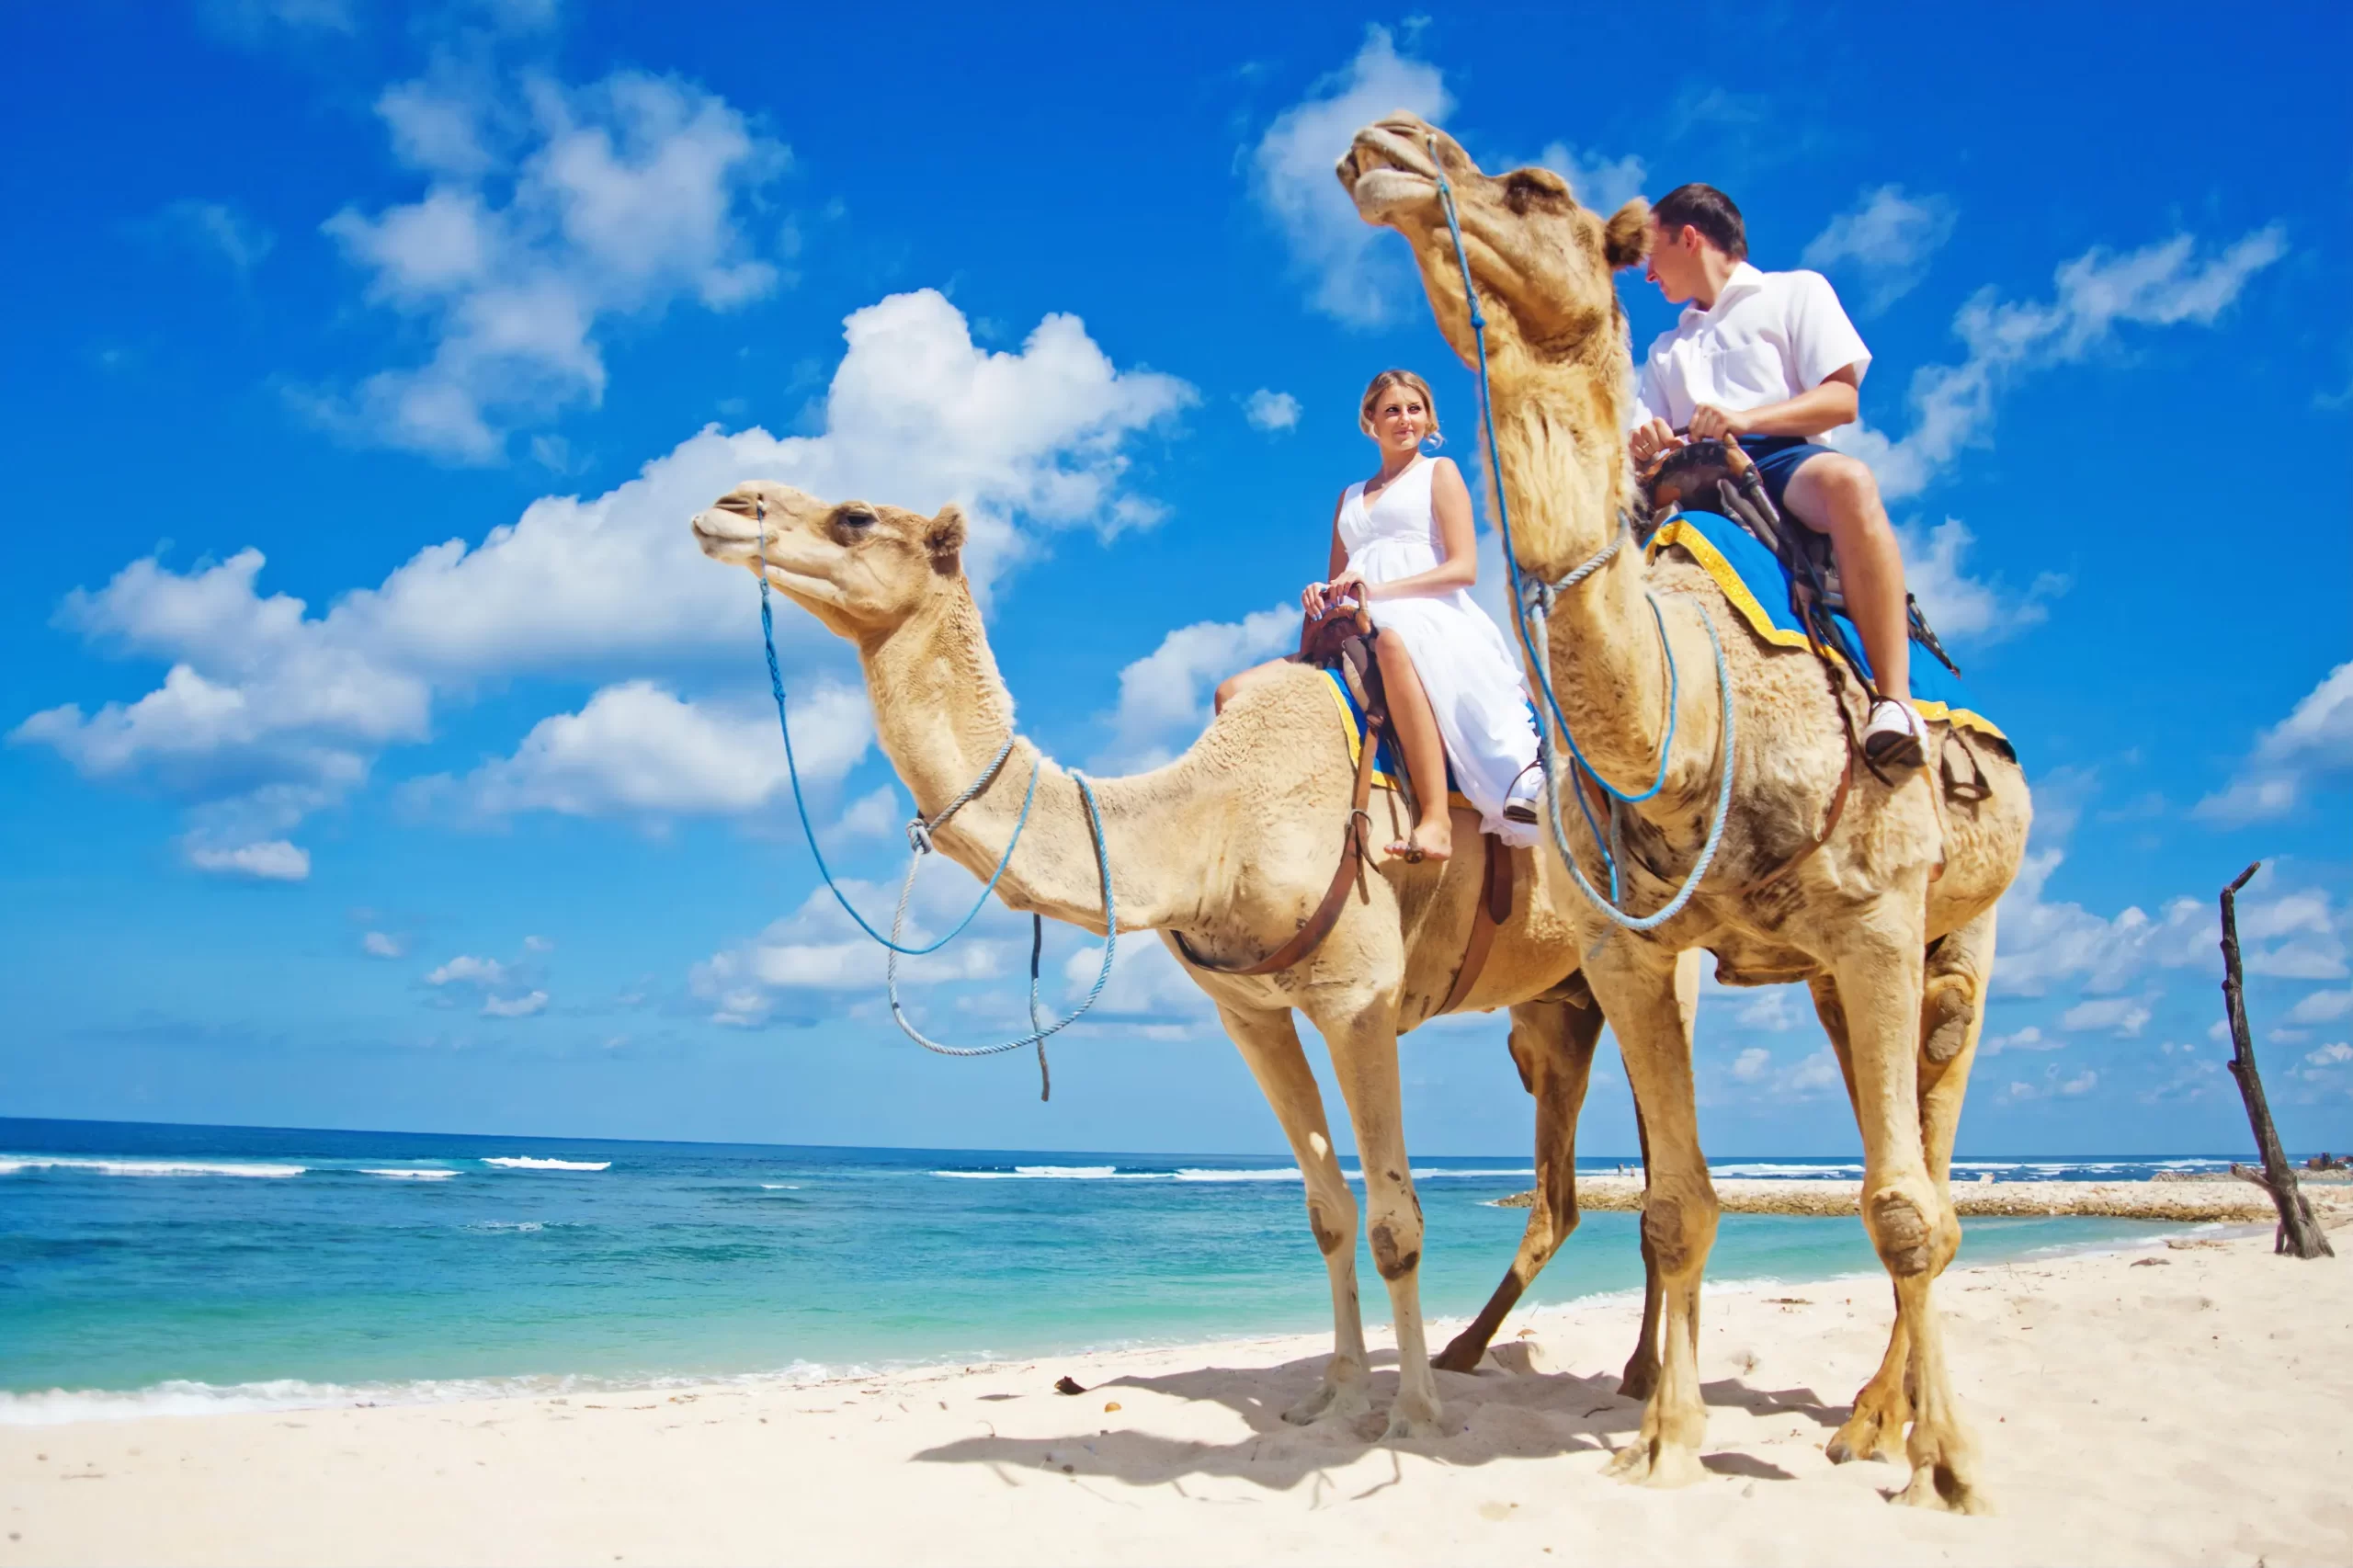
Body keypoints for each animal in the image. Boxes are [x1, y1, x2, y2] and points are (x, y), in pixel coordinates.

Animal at [690, 482, 1693, 1439]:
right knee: (1562, 1190)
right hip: (1554, 1008)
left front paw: (1411, 1416)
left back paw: (1635, 1381)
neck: (1217, 818)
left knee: (1660, 1175)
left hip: (1650, 956)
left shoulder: (1356, 998)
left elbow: (1394, 1221)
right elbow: (1328, 1213)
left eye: (855, 516)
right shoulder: (1249, 1012)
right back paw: (1489, 1353)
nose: (726, 506)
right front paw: (1334, 1396)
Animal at [1338, 115, 2031, 1512]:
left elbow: (1905, 1206)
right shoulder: (1627, 948)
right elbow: (1671, 1202)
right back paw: (1864, 1417)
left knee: (1929, 1167)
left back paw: (1893, 1428)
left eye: (1533, 186)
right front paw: (1665, 1439)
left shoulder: (1879, 918)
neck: (1689, 718)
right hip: (1821, 977)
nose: (1390, 140)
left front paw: (1957, 1472)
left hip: (1957, 933)